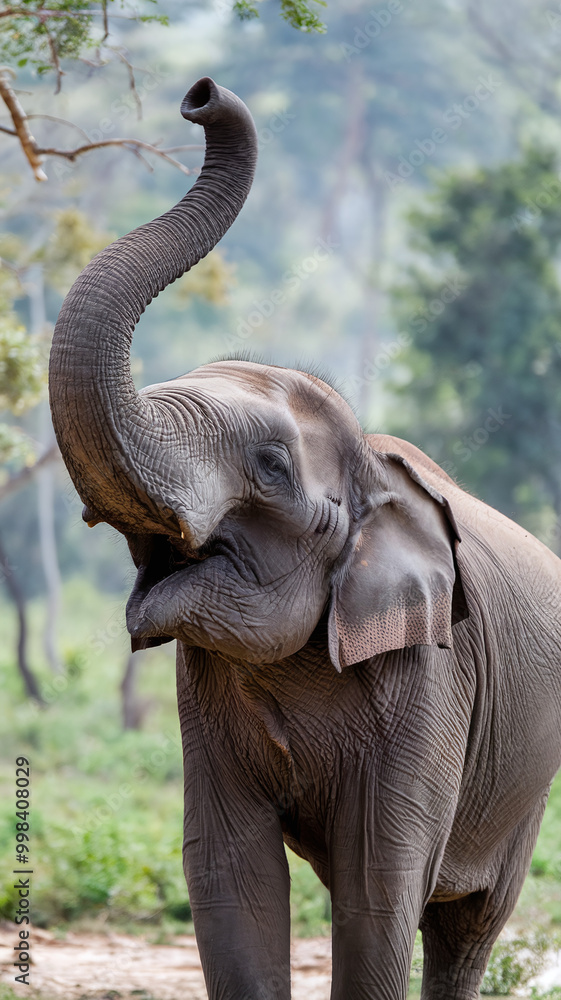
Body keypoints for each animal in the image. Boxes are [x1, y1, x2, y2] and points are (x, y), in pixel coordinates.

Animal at [49, 77, 561, 1000]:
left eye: (271, 464)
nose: (200, 94)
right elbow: (230, 878)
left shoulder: (431, 676)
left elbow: (376, 889)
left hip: (527, 773)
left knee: (467, 924)